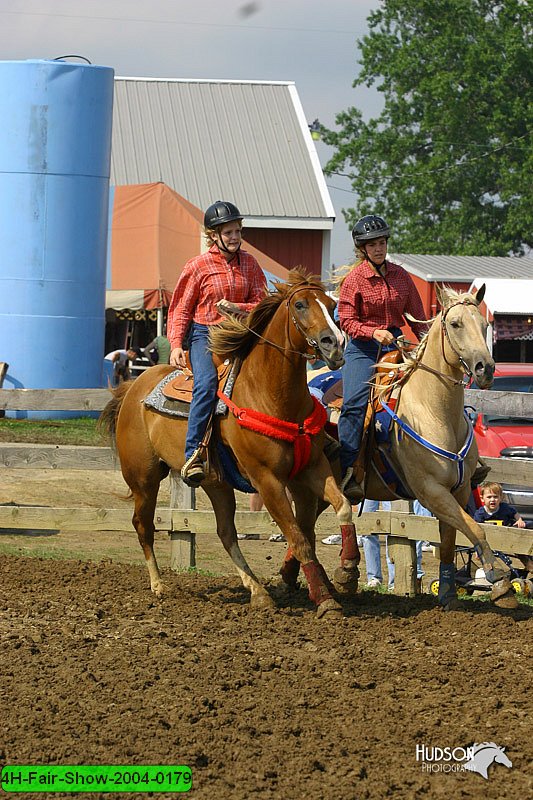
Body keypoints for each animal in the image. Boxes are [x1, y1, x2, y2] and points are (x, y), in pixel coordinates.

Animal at [97, 274, 360, 620]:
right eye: (301, 305)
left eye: (332, 305)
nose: (335, 343)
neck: (271, 394)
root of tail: (132, 387)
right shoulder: (267, 481)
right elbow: (299, 538)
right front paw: (326, 600)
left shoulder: (312, 468)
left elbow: (341, 507)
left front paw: (348, 571)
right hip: (144, 479)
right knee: (143, 525)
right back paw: (158, 585)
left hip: (215, 483)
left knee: (226, 532)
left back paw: (258, 592)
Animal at [336, 284, 516, 608]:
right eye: (455, 324)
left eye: (484, 325)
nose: (485, 369)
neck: (434, 410)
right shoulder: (430, 490)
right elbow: (475, 528)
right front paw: (499, 581)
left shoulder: (458, 490)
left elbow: (449, 540)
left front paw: (448, 593)